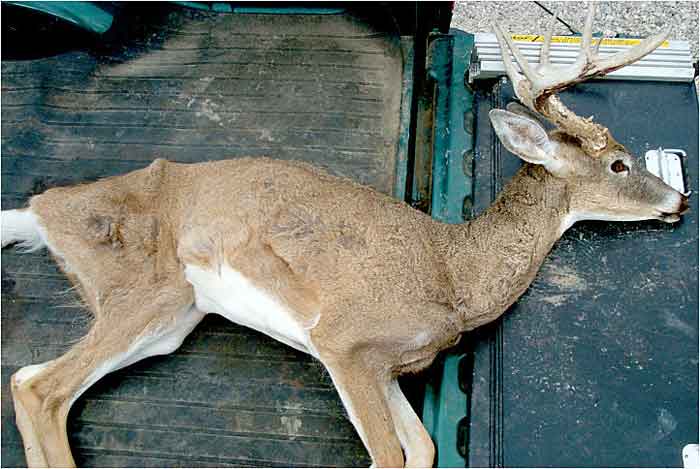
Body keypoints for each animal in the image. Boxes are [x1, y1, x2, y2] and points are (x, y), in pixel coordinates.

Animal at [0, 4, 690, 468]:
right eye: (620, 165)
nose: (680, 200)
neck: (454, 274)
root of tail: (40, 207)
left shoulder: (388, 366)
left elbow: (424, 449)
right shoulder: (342, 340)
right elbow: (390, 456)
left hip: (176, 318)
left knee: (36, 382)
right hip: (148, 288)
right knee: (36, 387)